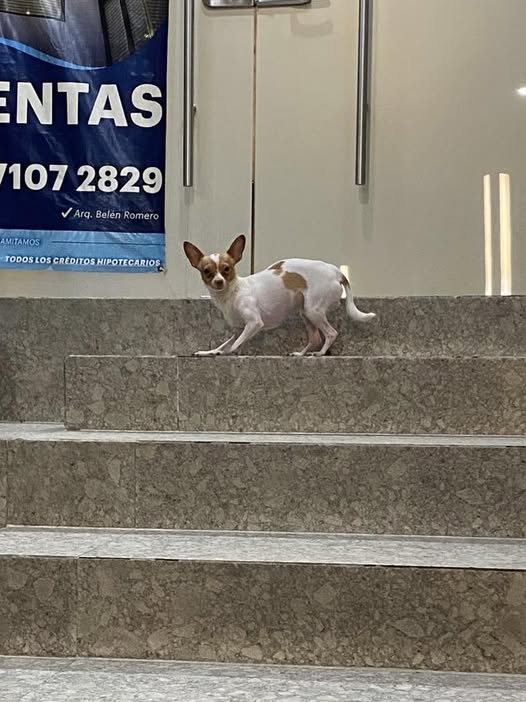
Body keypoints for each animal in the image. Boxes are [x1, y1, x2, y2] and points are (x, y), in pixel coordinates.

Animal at [183, 234, 376, 356]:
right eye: (207, 271)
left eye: (226, 269)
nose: (218, 281)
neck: (232, 292)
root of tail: (337, 272)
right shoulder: (238, 329)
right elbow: (226, 343)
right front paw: (210, 351)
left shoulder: (254, 323)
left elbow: (233, 346)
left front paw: (225, 352)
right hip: (305, 312)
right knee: (315, 338)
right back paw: (300, 354)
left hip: (313, 310)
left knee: (331, 333)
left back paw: (320, 353)